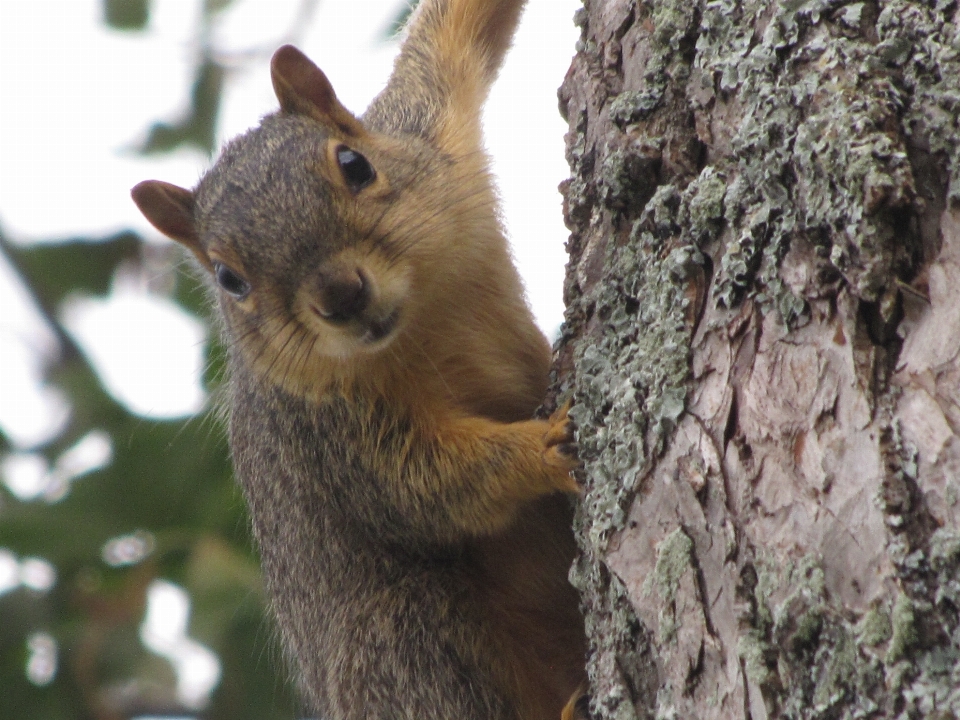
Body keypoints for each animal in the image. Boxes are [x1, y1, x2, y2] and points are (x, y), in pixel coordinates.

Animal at [132, 0, 588, 716]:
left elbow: (451, 31)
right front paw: (542, 447)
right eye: (229, 279)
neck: (426, 316)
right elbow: (427, 486)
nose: (341, 295)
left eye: (354, 163)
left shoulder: (428, 119)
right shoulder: (325, 433)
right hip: (400, 634)